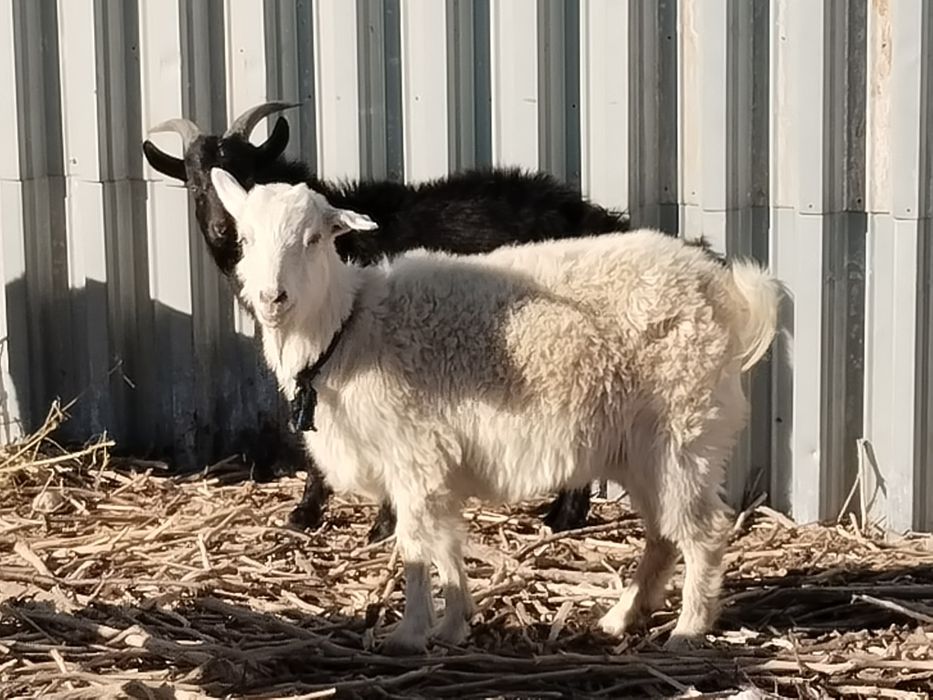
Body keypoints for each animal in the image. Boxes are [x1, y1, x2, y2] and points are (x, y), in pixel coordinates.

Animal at [142, 102, 632, 540]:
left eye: (247, 173)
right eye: (194, 185)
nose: (223, 230)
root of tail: (597, 218)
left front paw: (365, 521)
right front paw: (311, 513)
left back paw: (563, 516)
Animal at [210, 169, 780, 653]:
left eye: (314, 238)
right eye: (246, 239)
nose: (272, 297)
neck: (350, 328)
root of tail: (723, 292)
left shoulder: (415, 453)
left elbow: (416, 544)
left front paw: (408, 634)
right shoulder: (434, 466)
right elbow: (446, 544)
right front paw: (453, 624)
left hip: (686, 429)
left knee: (703, 530)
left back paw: (687, 630)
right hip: (642, 447)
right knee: (663, 533)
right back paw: (621, 617)